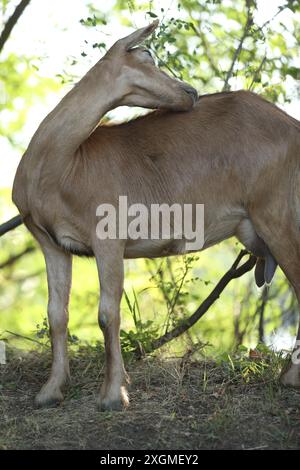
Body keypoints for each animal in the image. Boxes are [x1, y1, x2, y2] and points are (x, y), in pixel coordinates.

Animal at [12, 23, 300, 412]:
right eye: (147, 55)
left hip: (277, 209)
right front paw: (50, 391)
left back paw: (291, 377)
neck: (64, 165)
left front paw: (113, 395)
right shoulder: (50, 241)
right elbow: (57, 314)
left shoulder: (108, 236)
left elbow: (107, 313)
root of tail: (293, 127)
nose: (191, 91)